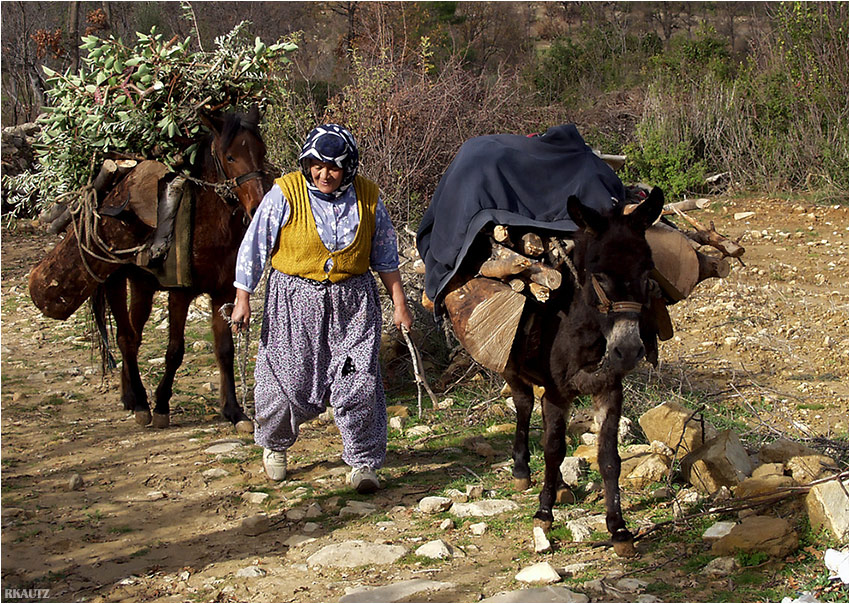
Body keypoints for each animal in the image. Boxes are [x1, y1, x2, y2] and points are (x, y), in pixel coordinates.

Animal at [92, 106, 266, 432]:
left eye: (260, 151)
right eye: (230, 157)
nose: (257, 206)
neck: (208, 224)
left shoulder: (223, 294)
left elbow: (224, 350)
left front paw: (234, 411)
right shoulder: (179, 294)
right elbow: (174, 350)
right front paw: (161, 406)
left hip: (143, 287)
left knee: (132, 336)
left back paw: (129, 396)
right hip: (116, 283)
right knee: (125, 338)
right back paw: (140, 403)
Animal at [448, 189, 660, 556]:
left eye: (648, 272)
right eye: (598, 275)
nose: (629, 350)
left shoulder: (609, 391)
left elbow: (609, 457)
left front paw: (619, 529)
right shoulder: (558, 393)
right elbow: (553, 450)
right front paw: (544, 514)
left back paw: (561, 485)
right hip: (512, 367)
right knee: (525, 409)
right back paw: (523, 471)